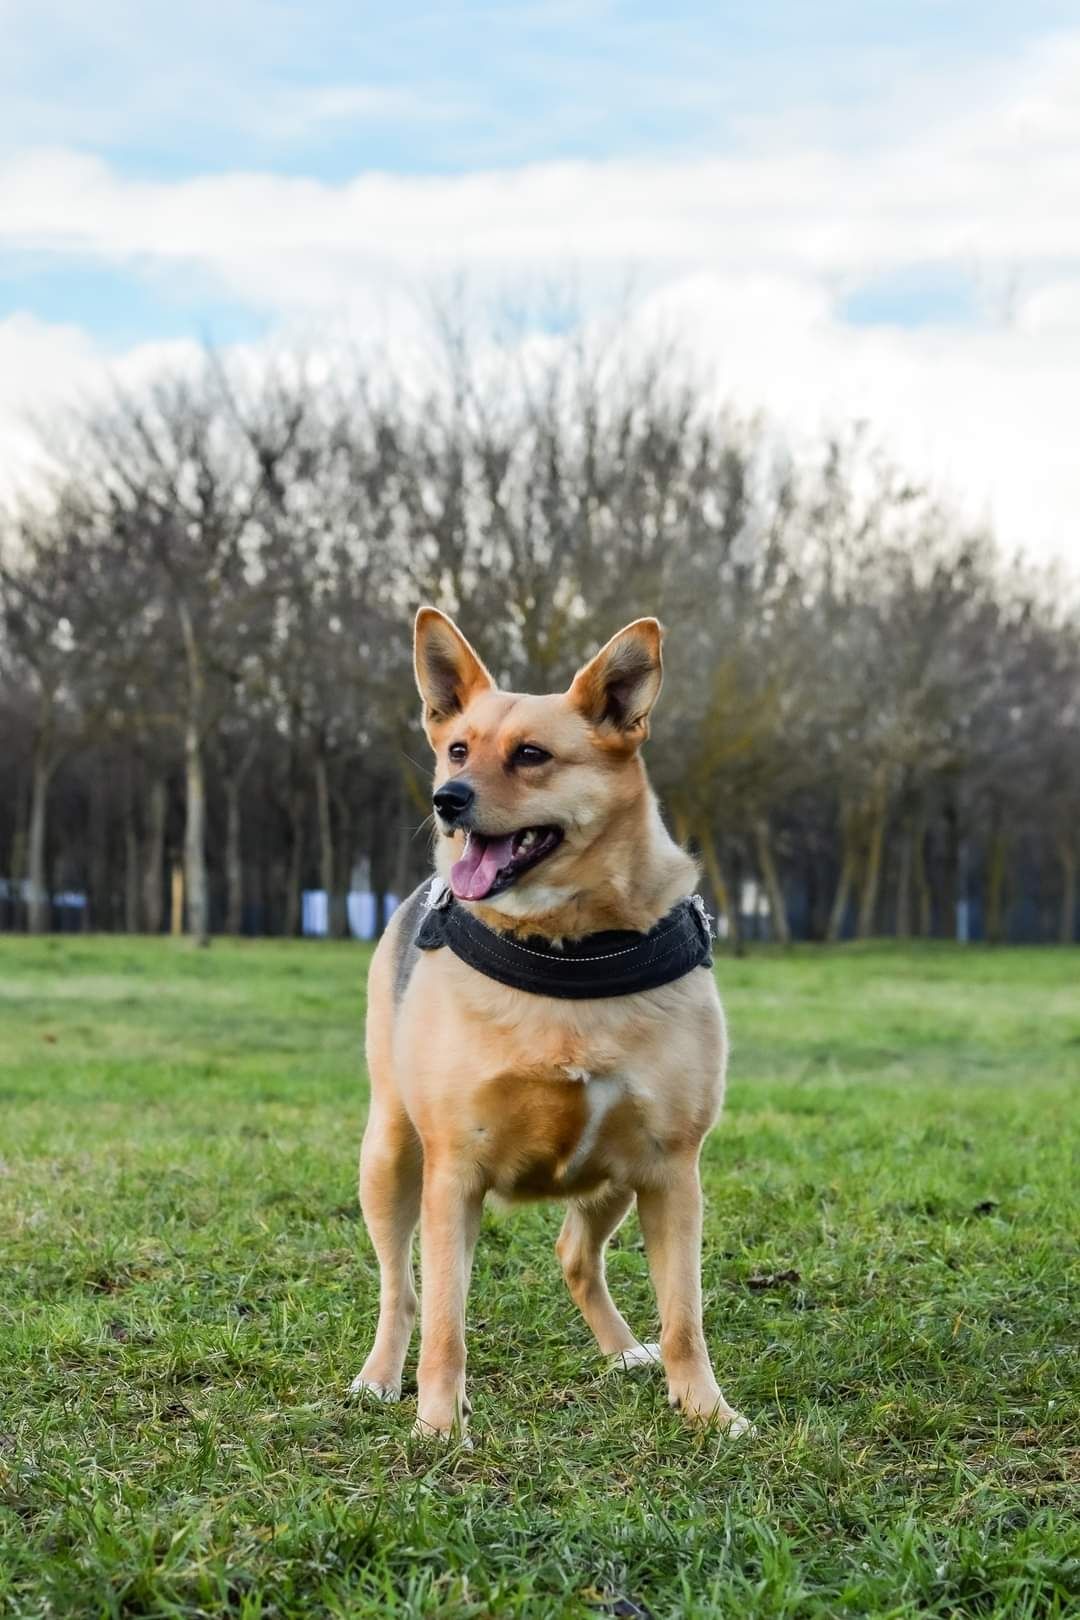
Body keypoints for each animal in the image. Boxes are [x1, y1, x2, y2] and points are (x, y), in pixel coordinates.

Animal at [351, 609, 748, 1445]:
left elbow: (685, 1318)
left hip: (614, 1178)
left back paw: (625, 1350)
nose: (447, 799)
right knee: (401, 1288)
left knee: (575, 1254)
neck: (566, 950)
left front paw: (706, 1410)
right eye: (458, 747)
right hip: (390, 1154)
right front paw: (439, 1425)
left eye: (531, 755)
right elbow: (446, 1323)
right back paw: (379, 1375)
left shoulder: (672, 1169)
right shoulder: (453, 1175)